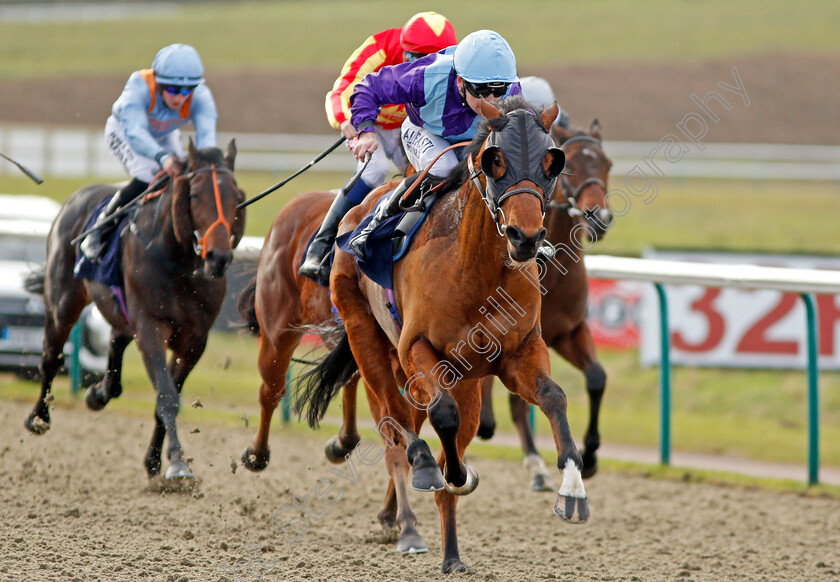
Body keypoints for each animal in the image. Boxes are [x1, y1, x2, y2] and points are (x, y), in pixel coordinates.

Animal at [23, 139, 244, 482]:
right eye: (195, 194)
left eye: (235, 196)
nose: (218, 257)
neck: (178, 259)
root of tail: (76, 197)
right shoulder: (151, 326)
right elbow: (167, 397)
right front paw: (178, 464)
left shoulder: (195, 339)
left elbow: (168, 395)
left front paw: (155, 461)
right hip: (63, 301)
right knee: (50, 357)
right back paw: (38, 417)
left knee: (115, 341)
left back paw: (99, 394)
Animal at [480, 122, 612, 492]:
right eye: (571, 167)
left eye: (607, 165)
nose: (599, 217)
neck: (550, 271)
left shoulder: (569, 331)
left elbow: (596, 377)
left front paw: (591, 457)